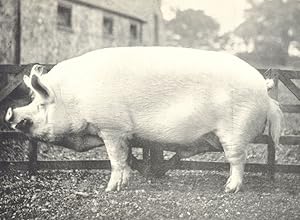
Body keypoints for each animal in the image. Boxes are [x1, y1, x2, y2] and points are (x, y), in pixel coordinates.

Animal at [5, 46, 284, 192]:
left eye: (41, 104)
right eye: (31, 100)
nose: (10, 113)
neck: (73, 98)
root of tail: (263, 88)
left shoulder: (112, 127)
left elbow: (115, 158)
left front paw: (110, 190)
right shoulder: (121, 133)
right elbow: (125, 158)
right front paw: (123, 183)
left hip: (235, 131)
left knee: (238, 159)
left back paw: (229, 189)